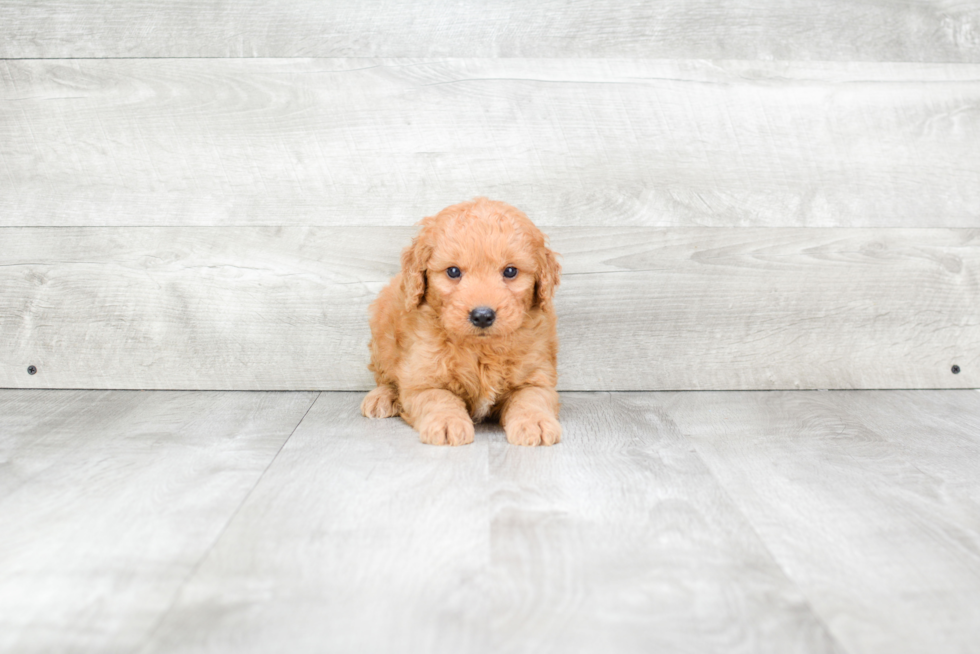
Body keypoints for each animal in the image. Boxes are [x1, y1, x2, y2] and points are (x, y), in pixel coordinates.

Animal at [360, 197, 564, 448]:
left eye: (510, 271)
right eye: (453, 271)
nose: (483, 315)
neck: (480, 348)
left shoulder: (537, 376)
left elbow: (531, 397)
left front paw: (535, 422)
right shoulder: (423, 379)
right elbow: (439, 397)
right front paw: (448, 422)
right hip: (382, 334)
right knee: (385, 376)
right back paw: (382, 397)